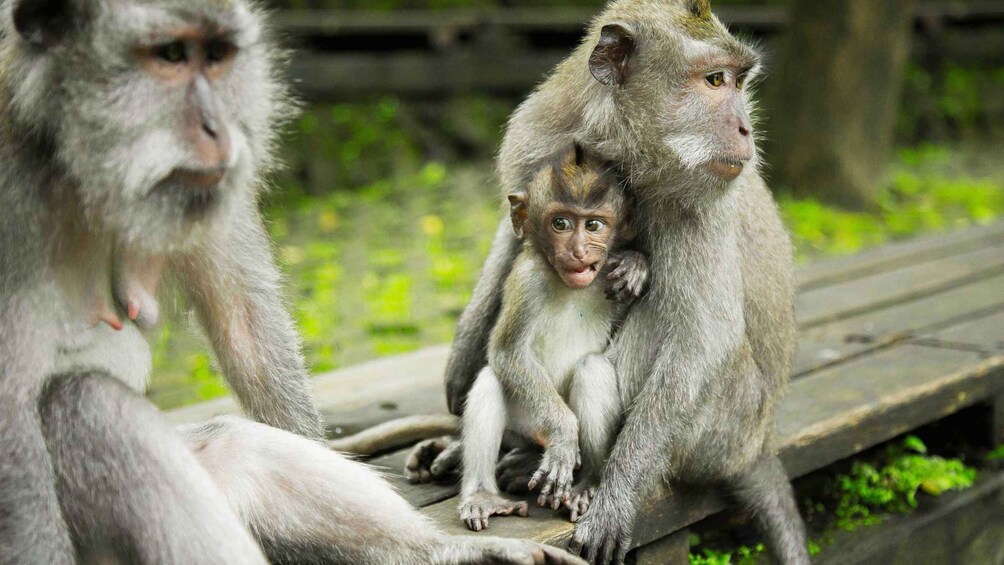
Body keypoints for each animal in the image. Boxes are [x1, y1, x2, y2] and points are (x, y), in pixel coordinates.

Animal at [459, 143, 646, 533]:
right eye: (560, 223)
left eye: (593, 224)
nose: (578, 251)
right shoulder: (527, 280)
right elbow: (508, 353)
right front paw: (562, 437)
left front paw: (636, 264)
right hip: (528, 420)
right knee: (491, 381)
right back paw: (483, 494)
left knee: (593, 368)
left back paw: (588, 482)